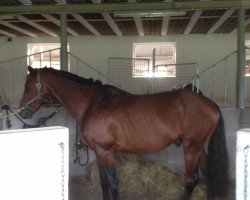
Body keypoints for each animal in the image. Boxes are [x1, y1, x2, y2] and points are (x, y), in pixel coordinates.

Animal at [19, 67, 229, 200]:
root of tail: (209, 104)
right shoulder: (99, 152)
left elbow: (113, 183)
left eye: (28, 86)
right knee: (208, 174)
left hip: (191, 147)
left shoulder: (105, 151)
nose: (22, 112)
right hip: (198, 147)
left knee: (191, 180)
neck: (93, 103)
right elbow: (104, 183)